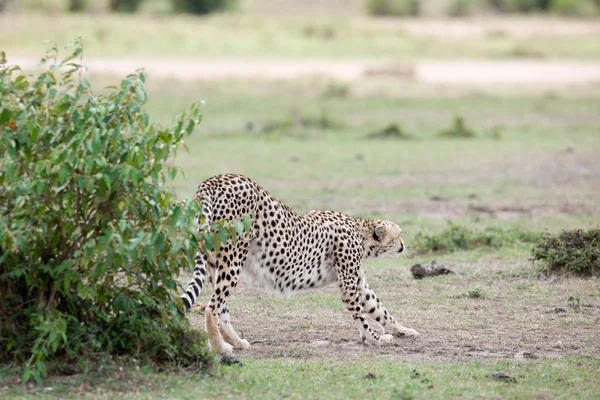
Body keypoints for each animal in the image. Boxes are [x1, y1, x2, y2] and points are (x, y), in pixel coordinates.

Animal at [180, 173, 420, 354]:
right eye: (399, 236)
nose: (403, 245)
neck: (360, 231)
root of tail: (216, 179)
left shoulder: (358, 281)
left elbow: (378, 307)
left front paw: (402, 330)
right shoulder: (348, 282)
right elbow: (361, 314)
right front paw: (374, 339)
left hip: (216, 261)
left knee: (222, 307)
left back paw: (237, 342)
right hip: (234, 257)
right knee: (212, 307)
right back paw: (220, 348)